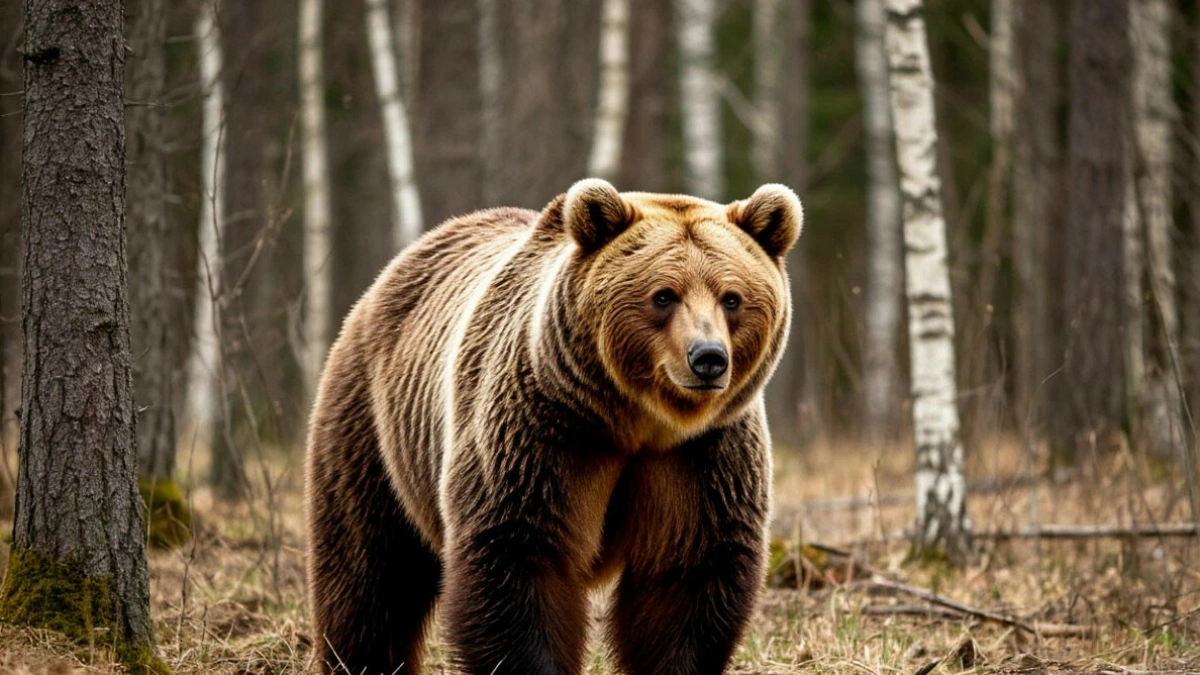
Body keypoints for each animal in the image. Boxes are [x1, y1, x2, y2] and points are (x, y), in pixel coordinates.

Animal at [305, 178, 803, 675]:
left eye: (732, 298)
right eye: (664, 295)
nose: (708, 358)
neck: (637, 419)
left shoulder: (700, 453)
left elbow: (688, 572)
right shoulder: (544, 430)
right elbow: (518, 556)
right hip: (374, 424)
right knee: (371, 571)